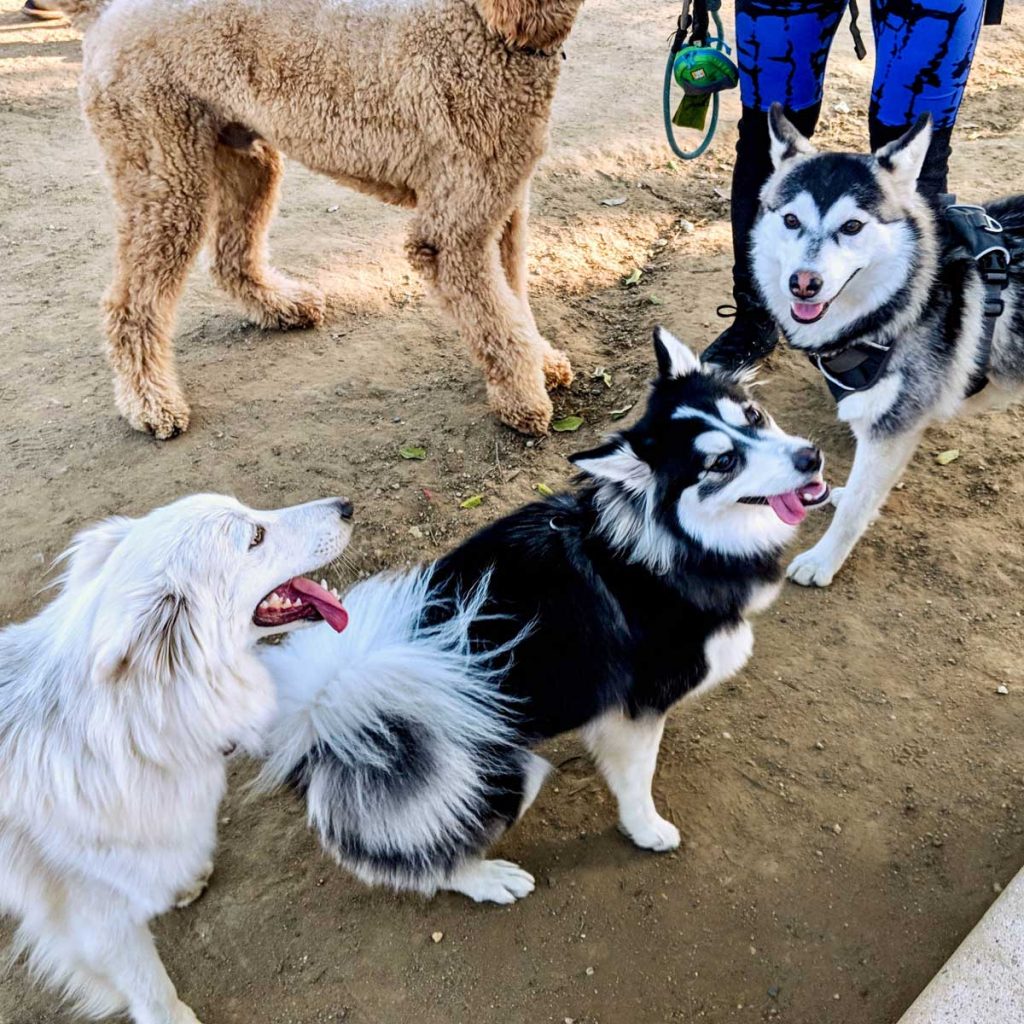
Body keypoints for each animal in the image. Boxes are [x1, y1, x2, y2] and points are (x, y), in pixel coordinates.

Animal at [0, 491, 352, 1019]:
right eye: (255, 537)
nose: (346, 506)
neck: (129, 735)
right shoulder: (96, 920)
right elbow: (151, 987)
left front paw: (180, 885)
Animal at [58, 0, 585, 436]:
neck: (482, 28)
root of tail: (106, 12)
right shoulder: (453, 232)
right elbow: (497, 321)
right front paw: (522, 398)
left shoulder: (504, 211)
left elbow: (515, 300)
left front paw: (542, 362)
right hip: (166, 179)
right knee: (129, 303)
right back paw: (150, 402)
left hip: (247, 158)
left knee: (231, 259)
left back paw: (280, 306)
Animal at [260, 329, 827, 905]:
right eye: (721, 464)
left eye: (753, 415)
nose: (811, 457)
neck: (670, 546)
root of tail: (324, 717)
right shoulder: (638, 708)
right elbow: (636, 781)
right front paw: (646, 829)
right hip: (507, 773)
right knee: (425, 861)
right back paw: (489, 879)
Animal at [753, 105, 1024, 585]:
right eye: (790, 221)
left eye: (852, 226)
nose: (803, 283)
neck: (908, 294)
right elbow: (862, 488)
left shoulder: (892, 427)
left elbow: (856, 509)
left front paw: (823, 561)